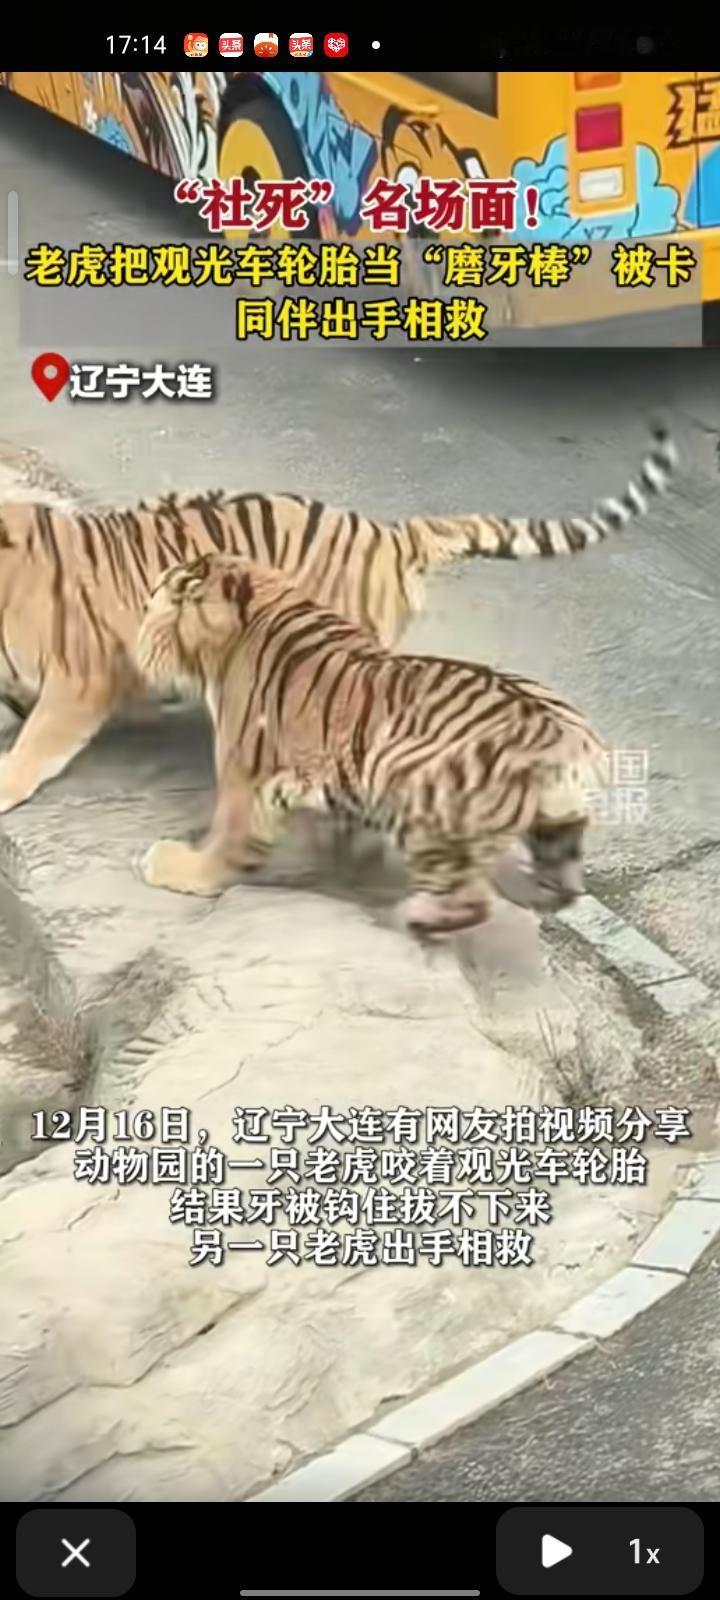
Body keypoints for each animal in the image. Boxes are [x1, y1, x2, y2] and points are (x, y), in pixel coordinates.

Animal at [135, 553, 608, 935]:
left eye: (153, 597)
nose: (138, 637)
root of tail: (560, 731)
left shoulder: (243, 772)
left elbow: (226, 839)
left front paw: (180, 867)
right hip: (556, 829)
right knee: (560, 886)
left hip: (403, 773)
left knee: (471, 900)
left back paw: (412, 915)